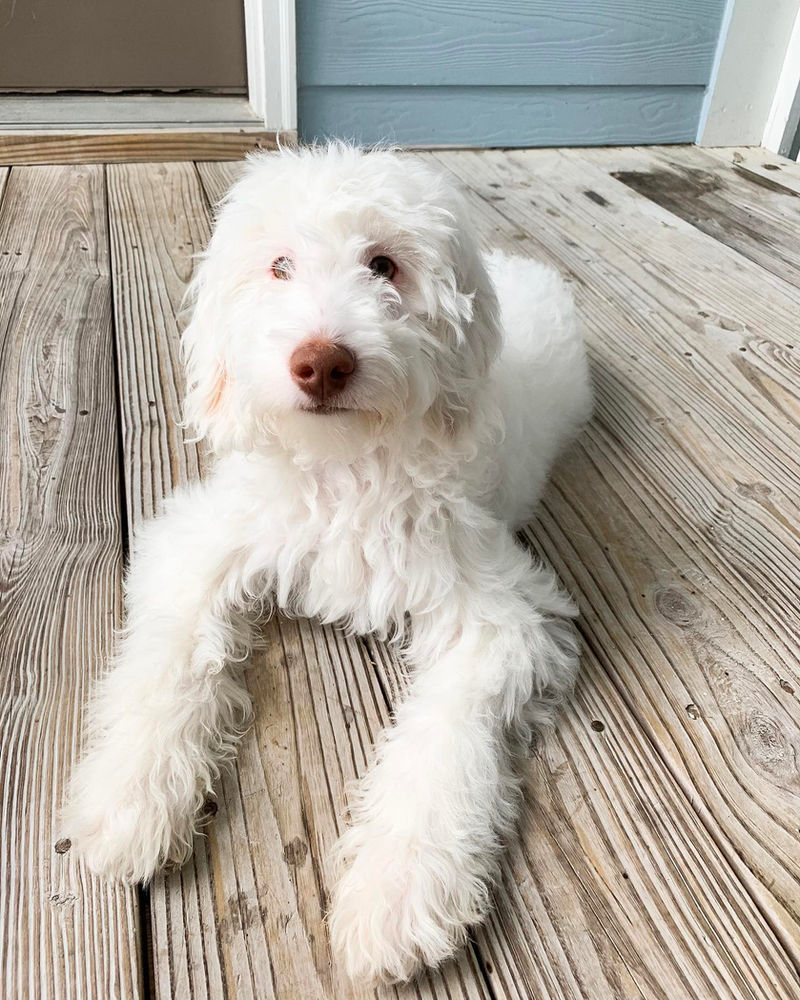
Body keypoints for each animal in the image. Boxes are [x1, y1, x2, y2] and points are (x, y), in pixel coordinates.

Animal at [65, 145, 592, 980]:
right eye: (279, 265)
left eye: (384, 265)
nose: (320, 363)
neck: (344, 465)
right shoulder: (204, 541)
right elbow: (168, 662)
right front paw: (131, 796)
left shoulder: (503, 612)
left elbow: (443, 740)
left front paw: (399, 888)